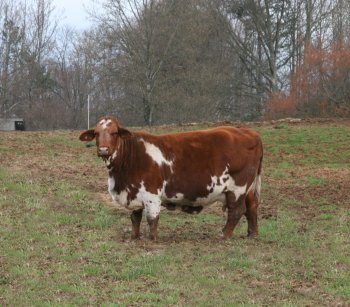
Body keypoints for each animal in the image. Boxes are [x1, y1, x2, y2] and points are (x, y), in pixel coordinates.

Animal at [80, 116, 262, 242]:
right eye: (96, 133)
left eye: (114, 133)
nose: (103, 150)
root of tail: (248, 132)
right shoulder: (133, 191)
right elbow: (135, 218)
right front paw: (134, 238)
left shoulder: (151, 193)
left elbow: (152, 218)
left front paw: (152, 240)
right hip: (248, 188)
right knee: (252, 206)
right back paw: (252, 234)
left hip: (237, 188)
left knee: (236, 211)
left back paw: (224, 235)